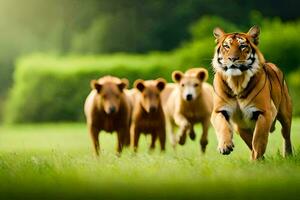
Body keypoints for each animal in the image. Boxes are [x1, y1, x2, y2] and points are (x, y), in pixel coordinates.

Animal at [210, 25, 292, 160]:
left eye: (242, 46)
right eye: (226, 46)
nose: (232, 58)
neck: (237, 82)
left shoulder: (264, 112)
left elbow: (258, 138)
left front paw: (257, 158)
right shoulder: (219, 111)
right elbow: (223, 126)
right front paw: (225, 146)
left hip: (285, 115)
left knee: (286, 135)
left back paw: (288, 155)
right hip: (240, 127)